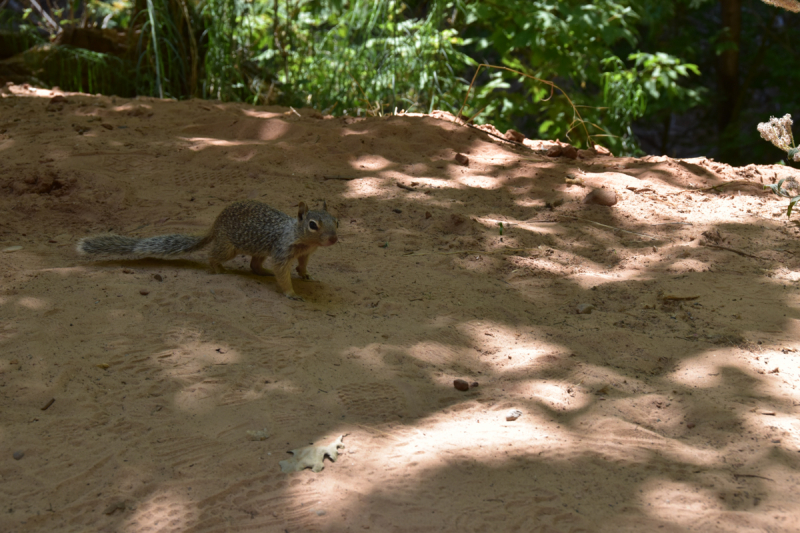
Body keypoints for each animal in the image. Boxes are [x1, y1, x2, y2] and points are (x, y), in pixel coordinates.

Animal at [75, 200, 338, 300]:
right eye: (312, 225)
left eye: (337, 220)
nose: (334, 239)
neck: (299, 236)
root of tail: (215, 225)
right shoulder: (282, 252)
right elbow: (282, 273)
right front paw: (291, 292)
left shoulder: (305, 254)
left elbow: (302, 265)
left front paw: (306, 275)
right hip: (228, 248)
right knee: (213, 255)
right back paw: (219, 269)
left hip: (257, 248)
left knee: (254, 264)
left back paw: (262, 273)